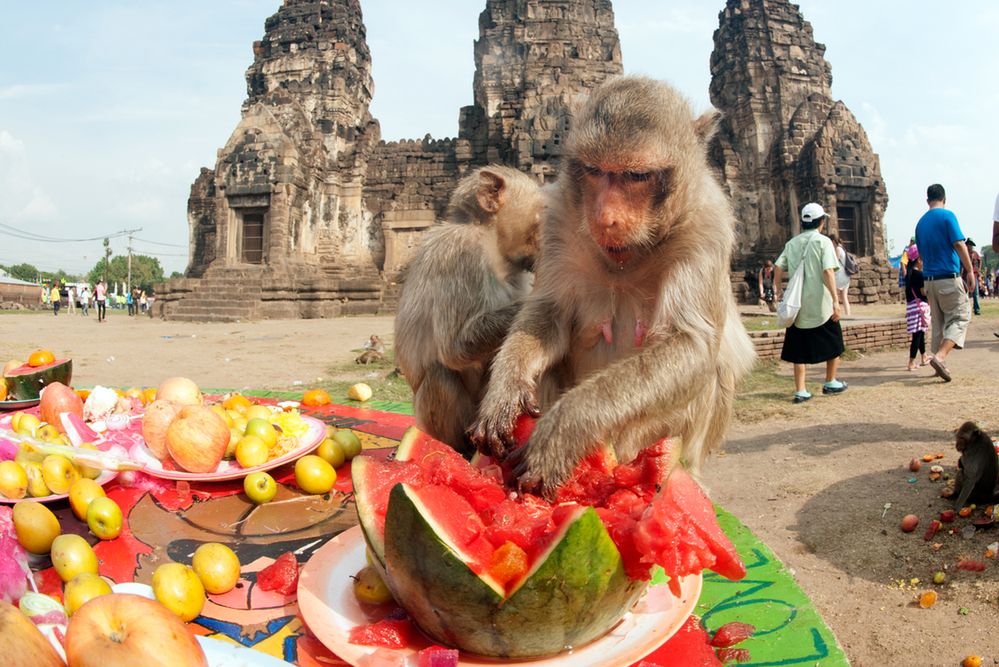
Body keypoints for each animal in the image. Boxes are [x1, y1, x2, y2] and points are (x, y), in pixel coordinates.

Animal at [468, 75, 756, 498]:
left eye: (635, 176)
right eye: (594, 170)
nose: (605, 218)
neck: (628, 258)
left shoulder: (707, 226)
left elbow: (690, 344)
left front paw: (566, 426)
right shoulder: (557, 219)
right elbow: (548, 314)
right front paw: (505, 388)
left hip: (643, 435)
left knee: (711, 368)